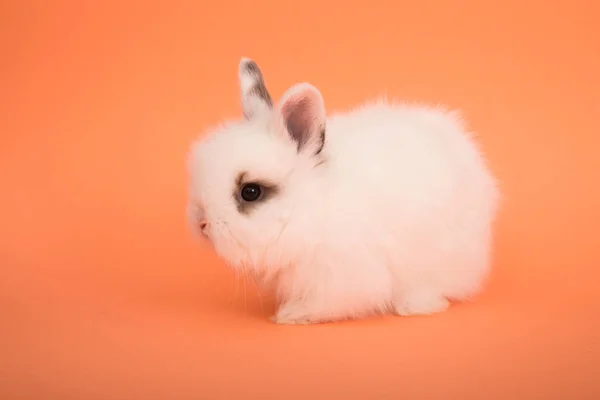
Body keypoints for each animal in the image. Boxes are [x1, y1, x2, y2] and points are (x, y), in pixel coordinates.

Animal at [185, 57, 500, 324]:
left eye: (250, 191)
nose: (202, 224)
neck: (308, 210)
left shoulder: (342, 277)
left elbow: (324, 303)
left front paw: (289, 315)